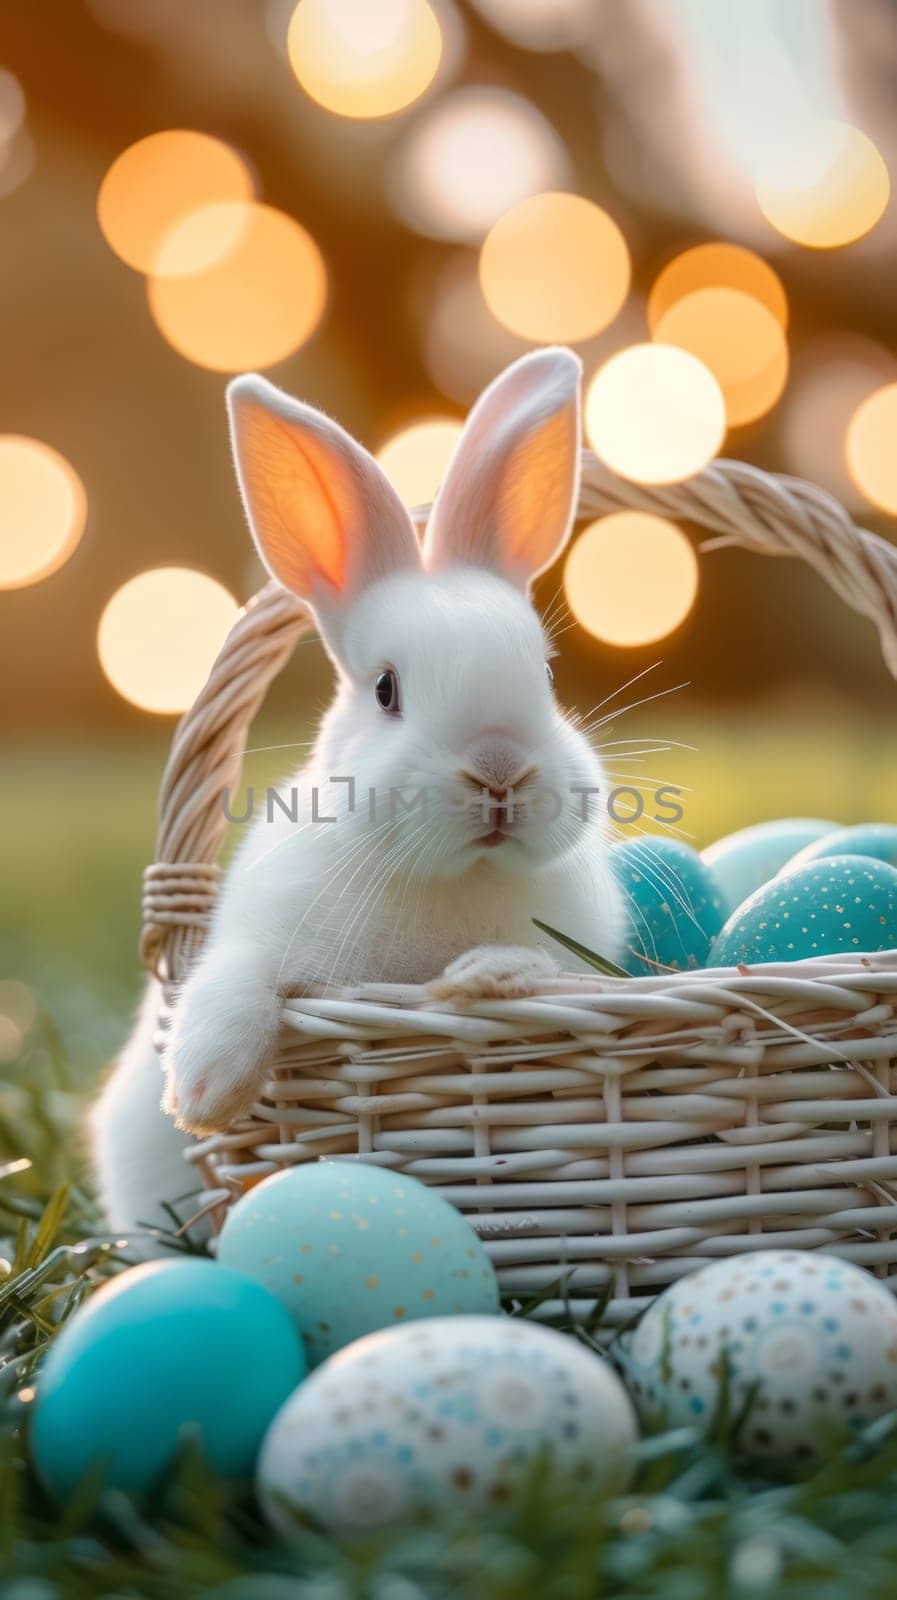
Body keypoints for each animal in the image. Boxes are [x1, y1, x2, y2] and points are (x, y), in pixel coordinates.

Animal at [89, 350, 623, 1248]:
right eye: (385, 689)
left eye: (546, 677)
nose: (500, 771)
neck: (454, 880)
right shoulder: (257, 934)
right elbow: (239, 977)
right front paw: (203, 1089)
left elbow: (536, 970)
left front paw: (479, 975)